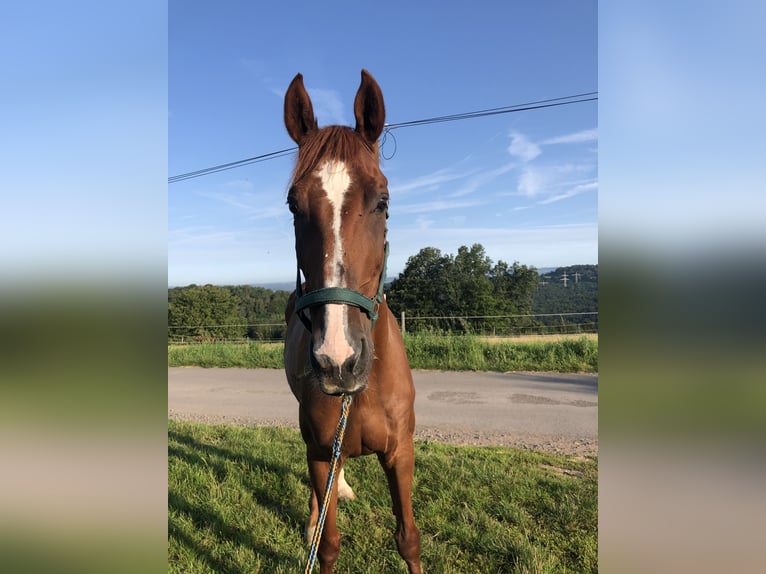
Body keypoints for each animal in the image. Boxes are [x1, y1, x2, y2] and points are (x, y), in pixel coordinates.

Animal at [284, 72, 424, 574]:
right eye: (293, 206)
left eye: (382, 201)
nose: (338, 360)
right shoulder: (320, 451)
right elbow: (327, 545)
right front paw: (317, 529)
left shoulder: (401, 454)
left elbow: (408, 539)